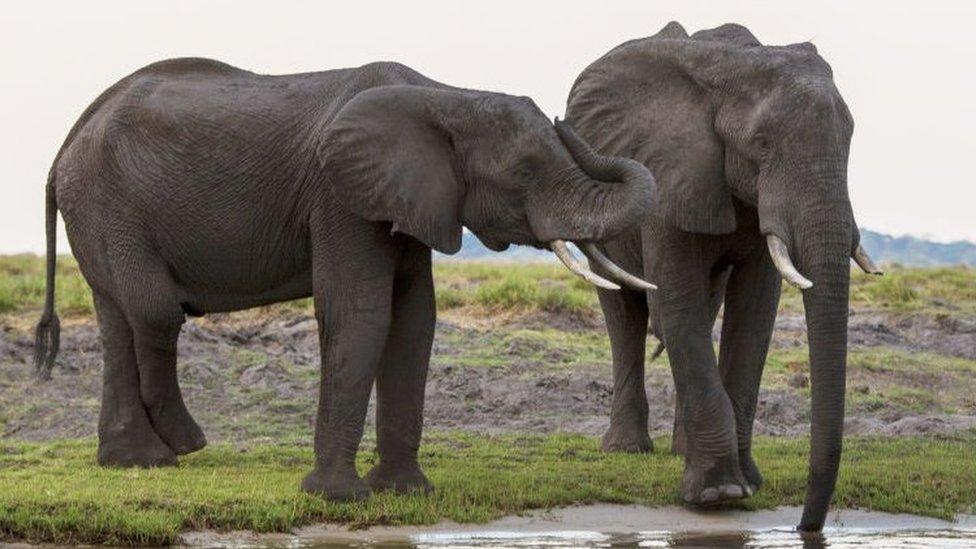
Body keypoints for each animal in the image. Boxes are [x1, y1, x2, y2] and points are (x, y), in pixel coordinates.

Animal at [34, 58, 656, 500]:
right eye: (524, 172)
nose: (563, 118)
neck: (444, 95)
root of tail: (67, 142)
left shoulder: (406, 200)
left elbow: (414, 322)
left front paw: (406, 493)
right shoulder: (339, 198)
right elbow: (360, 313)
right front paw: (336, 498)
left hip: (98, 211)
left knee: (118, 320)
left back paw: (137, 461)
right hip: (109, 207)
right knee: (154, 311)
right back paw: (183, 445)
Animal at [564, 22, 884, 532]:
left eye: (850, 138)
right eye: (762, 144)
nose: (804, 527)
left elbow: (754, 314)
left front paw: (746, 483)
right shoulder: (668, 169)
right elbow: (678, 300)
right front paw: (719, 494)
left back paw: (680, 450)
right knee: (626, 312)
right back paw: (626, 449)